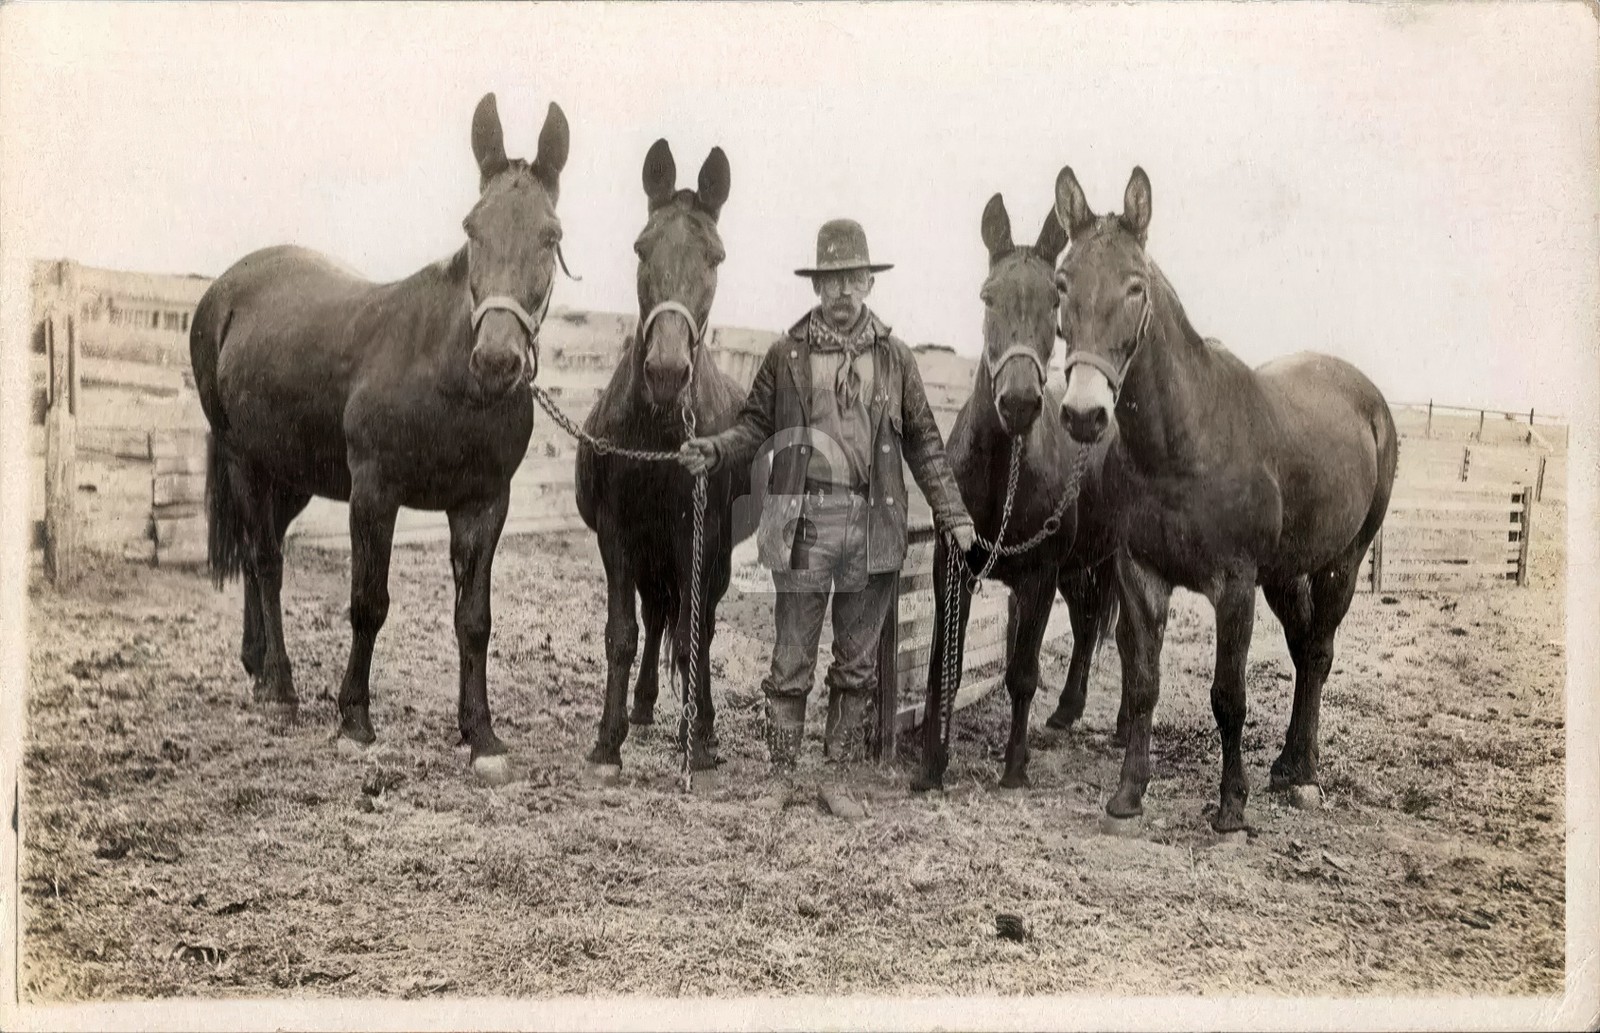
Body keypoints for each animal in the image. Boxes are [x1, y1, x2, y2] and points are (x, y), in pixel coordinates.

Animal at [190, 93, 570, 786]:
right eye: (472, 228)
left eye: (550, 236)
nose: (497, 361)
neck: (446, 376)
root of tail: (225, 289)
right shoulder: (374, 493)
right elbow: (368, 602)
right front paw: (354, 723)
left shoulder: (483, 504)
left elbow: (474, 620)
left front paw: (481, 735)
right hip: (244, 460)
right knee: (266, 561)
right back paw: (281, 689)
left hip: (292, 475)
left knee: (261, 561)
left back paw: (258, 669)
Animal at [573, 139, 751, 787]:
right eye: (641, 248)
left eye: (716, 258)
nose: (668, 373)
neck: (656, 435)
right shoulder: (619, 535)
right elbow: (623, 635)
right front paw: (608, 740)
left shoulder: (696, 536)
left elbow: (694, 635)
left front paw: (696, 742)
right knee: (656, 619)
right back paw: (646, 706)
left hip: (707, 553)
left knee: (698, 625)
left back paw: (700, 722)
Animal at [909, 193, 1120, 794]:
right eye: (988, 296)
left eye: (1055, 299)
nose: (1020, 402)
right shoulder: (952, 565)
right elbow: (944, 666)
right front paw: (931, 764)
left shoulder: (1039, 576)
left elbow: (1022, 673)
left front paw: (1015, 766)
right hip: (1079, 567)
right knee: (1088, 623)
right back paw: (1067, 711)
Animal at [1051, 164, 1398, 834]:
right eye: (1062, 282)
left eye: (1135, 287)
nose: (1083, 414)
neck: (1184, 443)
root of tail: (1368, 398)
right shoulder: (1140, 574)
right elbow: (1143, 684)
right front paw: (1129, 793)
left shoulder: (1234, 585)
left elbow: (1228, 696)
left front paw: (1231, 806)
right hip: (1285, 574)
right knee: (1302, 651)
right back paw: (1287, 763)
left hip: (1341, 563)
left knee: (1319, 652)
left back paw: (1305, 773)